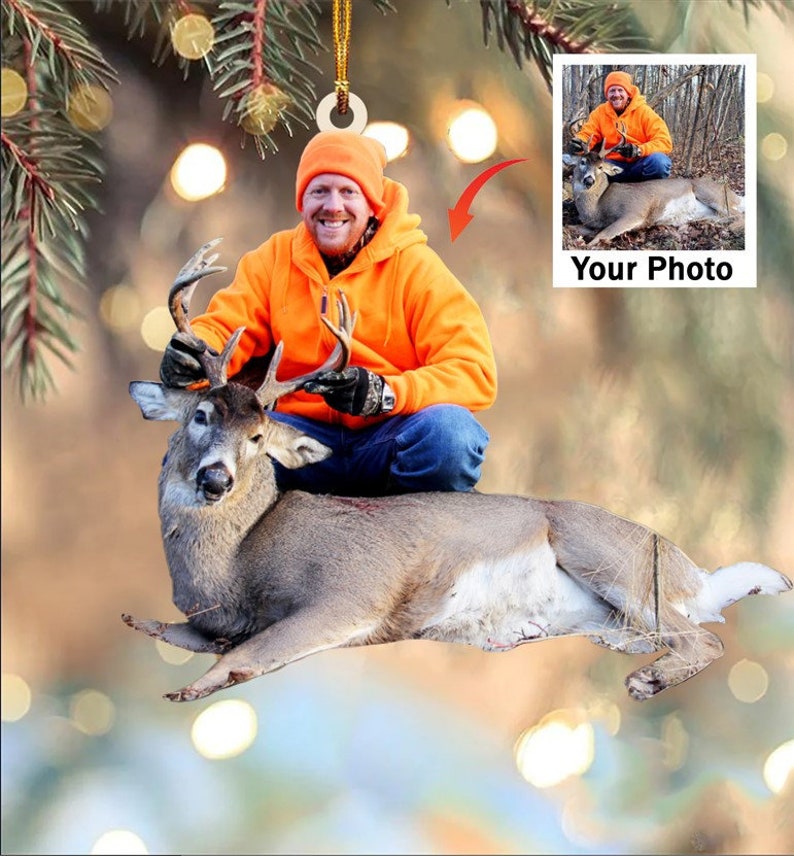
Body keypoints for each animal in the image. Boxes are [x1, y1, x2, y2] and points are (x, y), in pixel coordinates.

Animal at [124, 239, 791, 704]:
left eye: (259, 439)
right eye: (201, 414)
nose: (215, 480)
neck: (235, 565)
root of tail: (692, 570)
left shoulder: (349, 594)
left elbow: (248, 654)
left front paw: (185, 688)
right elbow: (173, 628)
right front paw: (142, 622)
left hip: (608, 555)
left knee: (704, 634)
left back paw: (645, 683)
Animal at [562, 125, 745, 246]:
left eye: (601, 167)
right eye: (583, 162)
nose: (589, 180)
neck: (598, 206)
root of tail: (733, 193)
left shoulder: (635, 212)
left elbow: (600, 237)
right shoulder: (593, 224)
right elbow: (571, 227)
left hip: (711, 193)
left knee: (739, 215)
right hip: (711, 213)